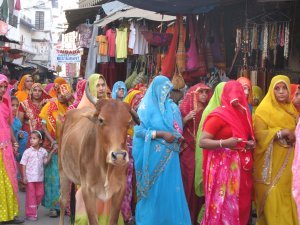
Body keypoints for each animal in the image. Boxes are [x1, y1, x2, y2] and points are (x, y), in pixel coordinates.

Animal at [58, 83, 140, 225]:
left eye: (129, 122)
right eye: (101, 120)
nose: (119, 156)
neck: (105, 167)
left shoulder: (119, 190)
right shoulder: (87, 190)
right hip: (63, 172)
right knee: (63, 201)